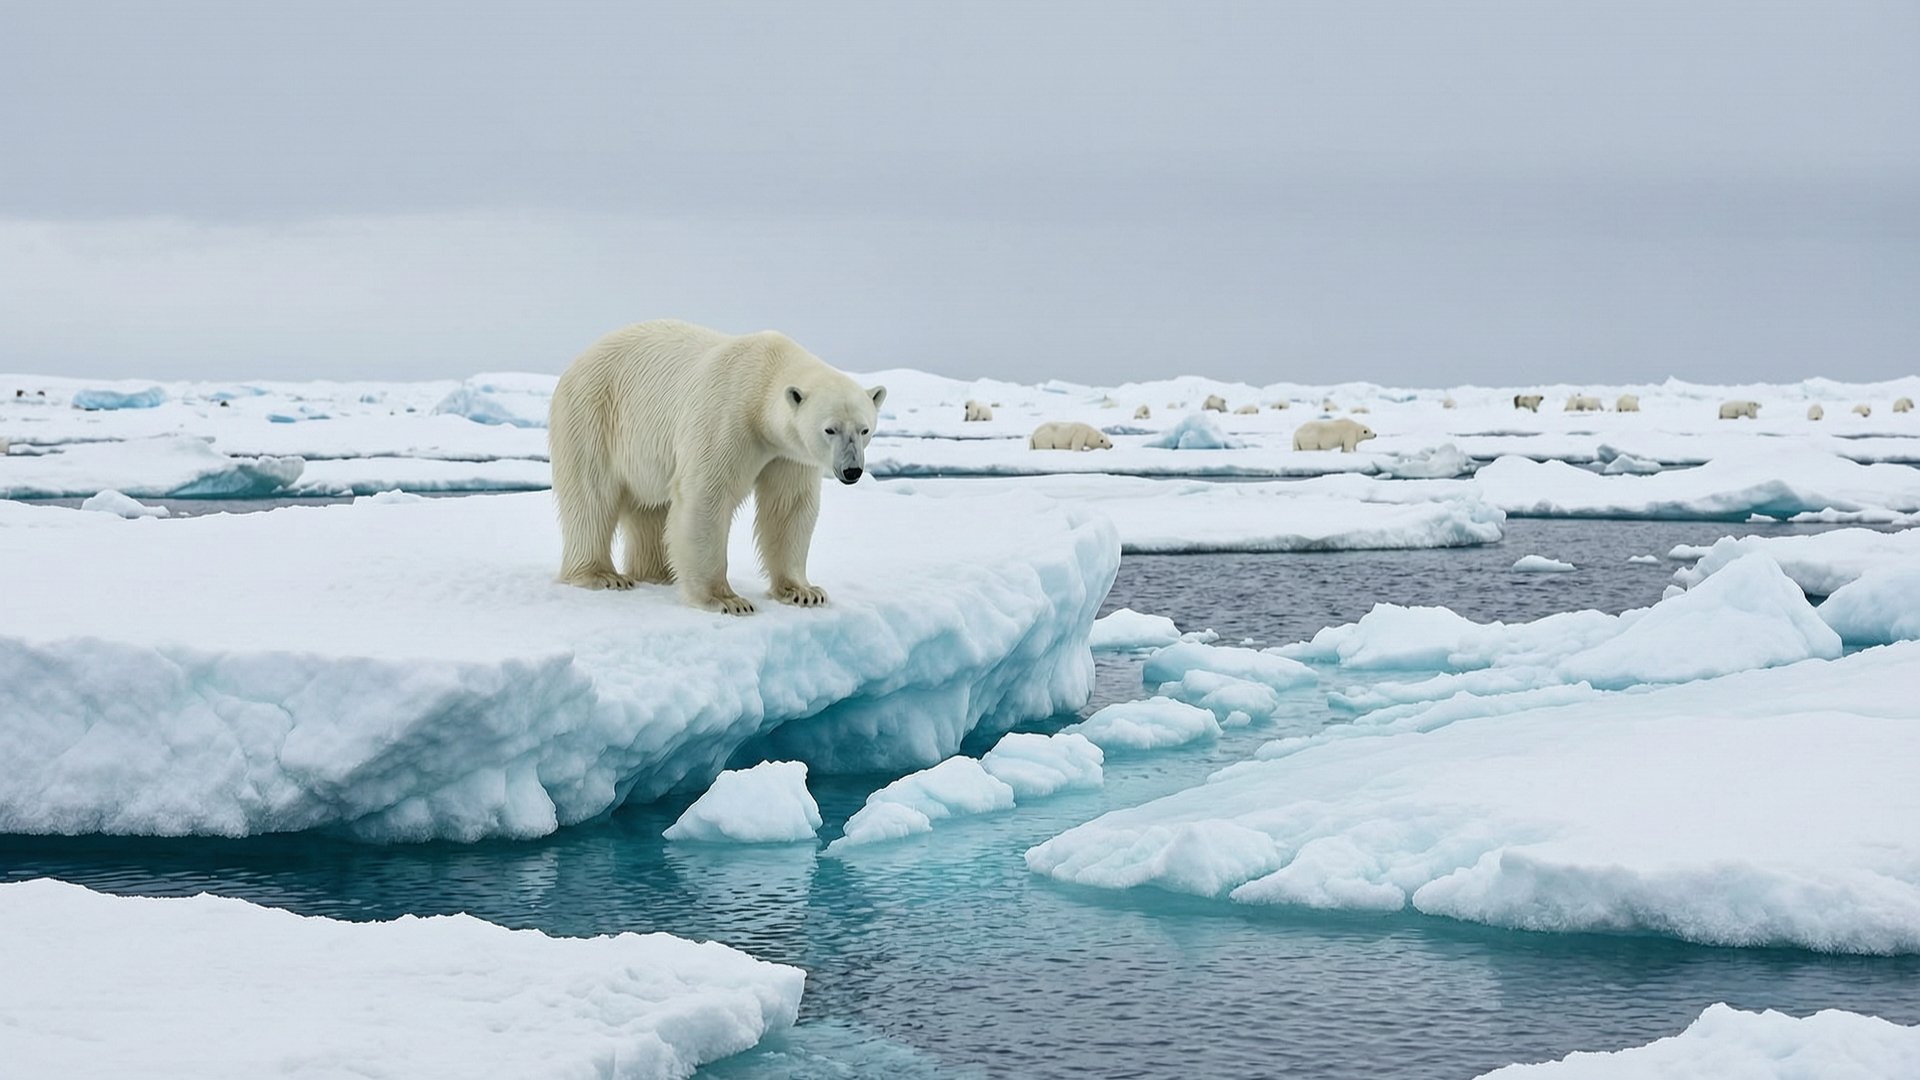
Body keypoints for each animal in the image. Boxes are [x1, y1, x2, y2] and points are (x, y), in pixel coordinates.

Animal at [548, 319, 885, 615]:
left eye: (864, 429)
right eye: (830, 429)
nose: (852, 471)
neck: (762, 376)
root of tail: (578, 360)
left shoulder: (789, 453)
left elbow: (789, 506)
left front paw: (805, 592)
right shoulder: (727, 416)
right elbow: (707, 496)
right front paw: (728, 600)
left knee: (650, 507)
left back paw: (660, 572)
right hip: (593, 413)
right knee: (592, 494)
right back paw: (602, 575)